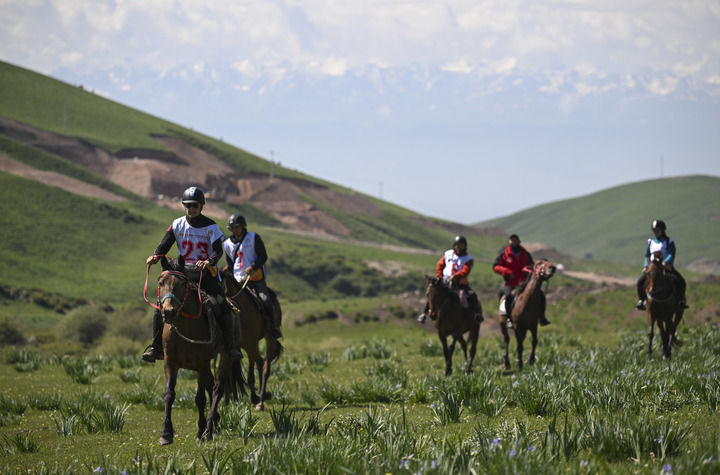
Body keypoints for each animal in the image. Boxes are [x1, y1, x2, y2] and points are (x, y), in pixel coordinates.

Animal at [147, 256, 246, 445]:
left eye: (182, 284)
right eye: (161, 282)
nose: (168, 312)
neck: (185, 327)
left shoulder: (201, 365)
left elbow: (200, 399)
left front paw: (201, 431)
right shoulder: (170, 363)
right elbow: (169, 394)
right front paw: (166, 433)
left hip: (225, 357)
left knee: (217, 388)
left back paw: (209, 426)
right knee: (211, 385)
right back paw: (215, 424)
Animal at [222, 269, 284, 411]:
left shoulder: (251, 345)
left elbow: (251, 376)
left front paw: (255, 398)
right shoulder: (233, 348)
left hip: (269, 339)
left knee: (264, 367)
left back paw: (261, 400)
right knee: (260, 362)